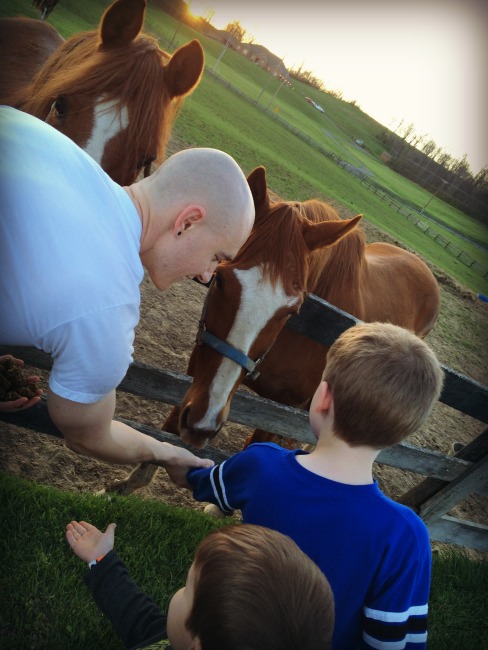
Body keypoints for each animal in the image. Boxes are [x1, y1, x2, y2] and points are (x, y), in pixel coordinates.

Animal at [105, 165, 440, 494]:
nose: (204, 425)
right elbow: (171, 429)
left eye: (292, 310)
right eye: (221, 279)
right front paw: (126, 485)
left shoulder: (283, 411)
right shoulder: (202, 366)